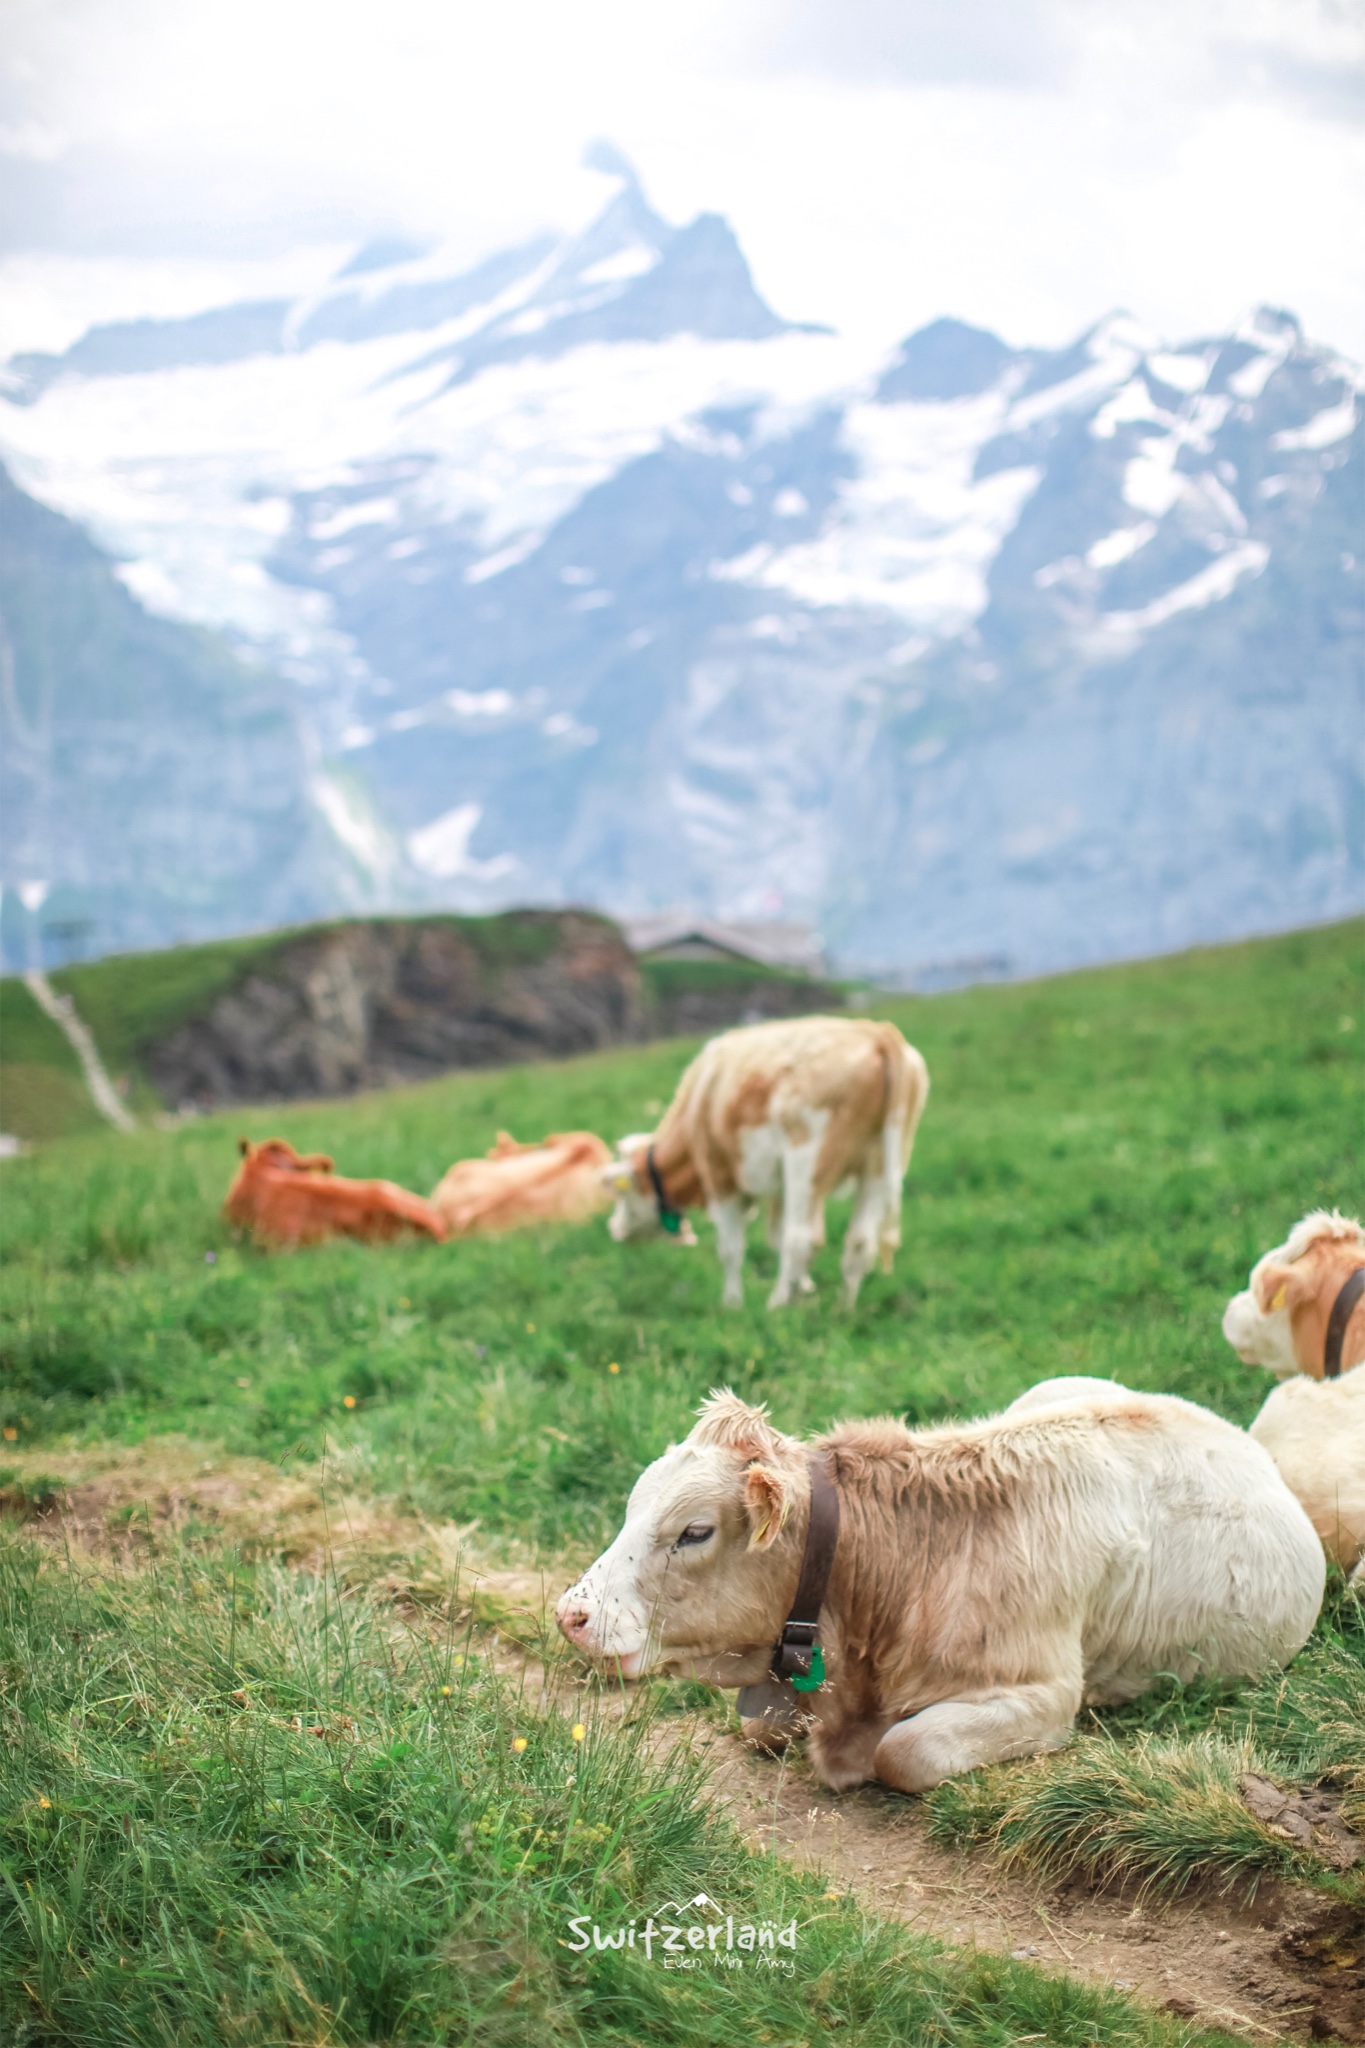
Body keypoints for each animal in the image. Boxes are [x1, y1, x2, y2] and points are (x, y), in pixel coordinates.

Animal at [605, 1011, 929, 1310]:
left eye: (622, 1195)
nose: (613, 1228)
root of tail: (878, 1033)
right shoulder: (779, 1189)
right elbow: (777, 1236)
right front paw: (805, 1290)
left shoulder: (718, 1176)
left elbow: (732, 1248)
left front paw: (733, 1304)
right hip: (879, 1165)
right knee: (859, 1242)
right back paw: (843, 1309)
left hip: (805, 1159)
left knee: (801, 1237)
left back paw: (777, 1304)